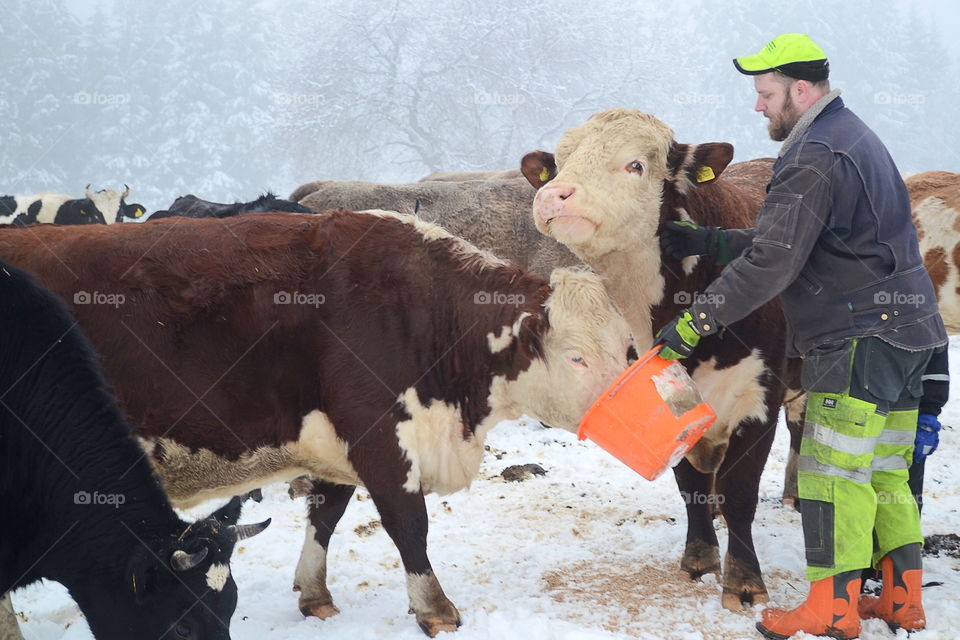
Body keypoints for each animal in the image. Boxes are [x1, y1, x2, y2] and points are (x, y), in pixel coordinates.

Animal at [520, 110, 792, 608]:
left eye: (636, 165)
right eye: (561, 163)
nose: (552, 195)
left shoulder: (761, 397)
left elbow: (742, 491)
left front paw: (744, 582)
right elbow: (689, 484)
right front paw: (700, 557)